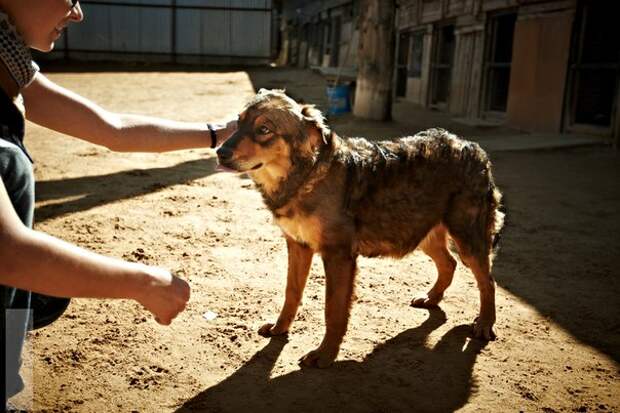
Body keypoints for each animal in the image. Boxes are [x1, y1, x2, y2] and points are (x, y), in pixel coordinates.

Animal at [216, 88, 506, 366]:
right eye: (238, 123)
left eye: (264, 130)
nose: (220, 152)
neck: (306, 177)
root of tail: (472, 146)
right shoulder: (298, 245)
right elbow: (291, 293)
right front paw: (280, 329)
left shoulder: (338, 255)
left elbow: (333, 311)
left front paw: (325, 355)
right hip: (422, 233)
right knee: (449, 264)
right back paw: (432, 298)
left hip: (466, 240)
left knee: (487, 281)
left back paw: (484, 325)